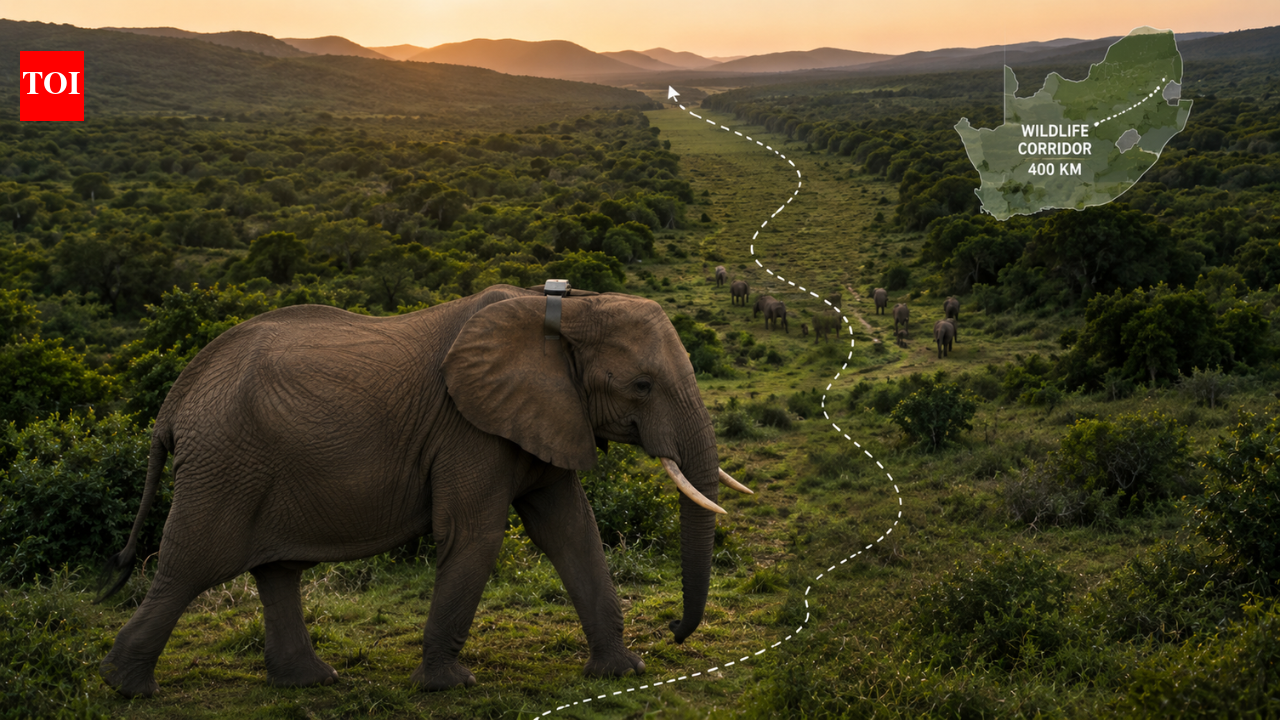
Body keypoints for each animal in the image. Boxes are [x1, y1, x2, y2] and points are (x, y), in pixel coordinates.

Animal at [95, 284, 753, 698]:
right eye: (642, 385)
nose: (675, 633)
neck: (562, 310)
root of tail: (175, 399)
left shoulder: (543, 414)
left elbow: (571, 531)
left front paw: (622, 672)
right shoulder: (467, 428)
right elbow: (476, 535)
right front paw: (448, 687)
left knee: (276, 570)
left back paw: (312, 681)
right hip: (225, 465)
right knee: (190, 566)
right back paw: (124, 687)